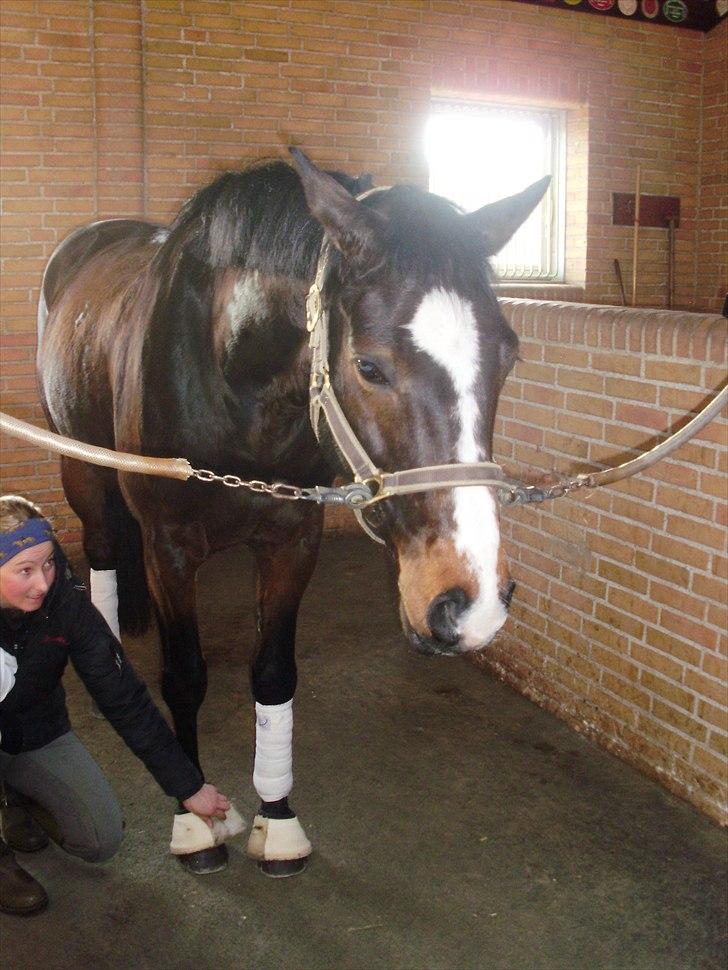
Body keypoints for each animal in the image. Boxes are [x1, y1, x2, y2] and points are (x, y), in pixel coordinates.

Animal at [34, 147, 544, 872]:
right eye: (368, 366)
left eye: (509, 356)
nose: (469, 604)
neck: (232, 383)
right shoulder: (169, 546)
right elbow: (184, 676)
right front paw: (195, 820)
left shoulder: (293, 540)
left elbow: (274, 675)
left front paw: (276, 820)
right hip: (82, 469)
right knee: (102, 550)